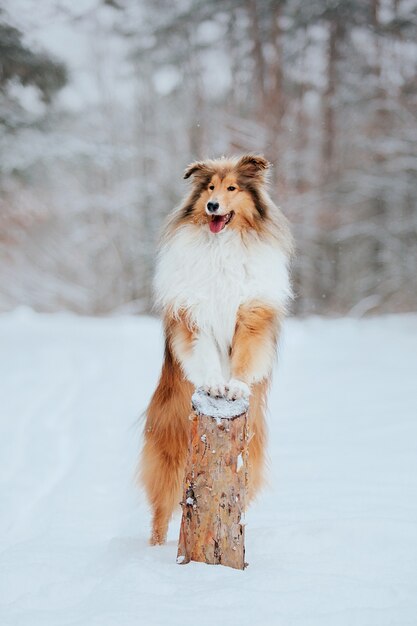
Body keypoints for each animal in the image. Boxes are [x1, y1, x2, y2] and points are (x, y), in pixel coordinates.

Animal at [140, 155, 292, 540]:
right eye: (209, 187)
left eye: (232, 188)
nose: (212, 206)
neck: (223, 245)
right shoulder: (195, 317)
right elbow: (205, 354)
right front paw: (213, 385)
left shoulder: (251, 315)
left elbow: (245, 358)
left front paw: (234, 386)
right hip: (169, 450)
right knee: (161, 508)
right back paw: (153, 547)